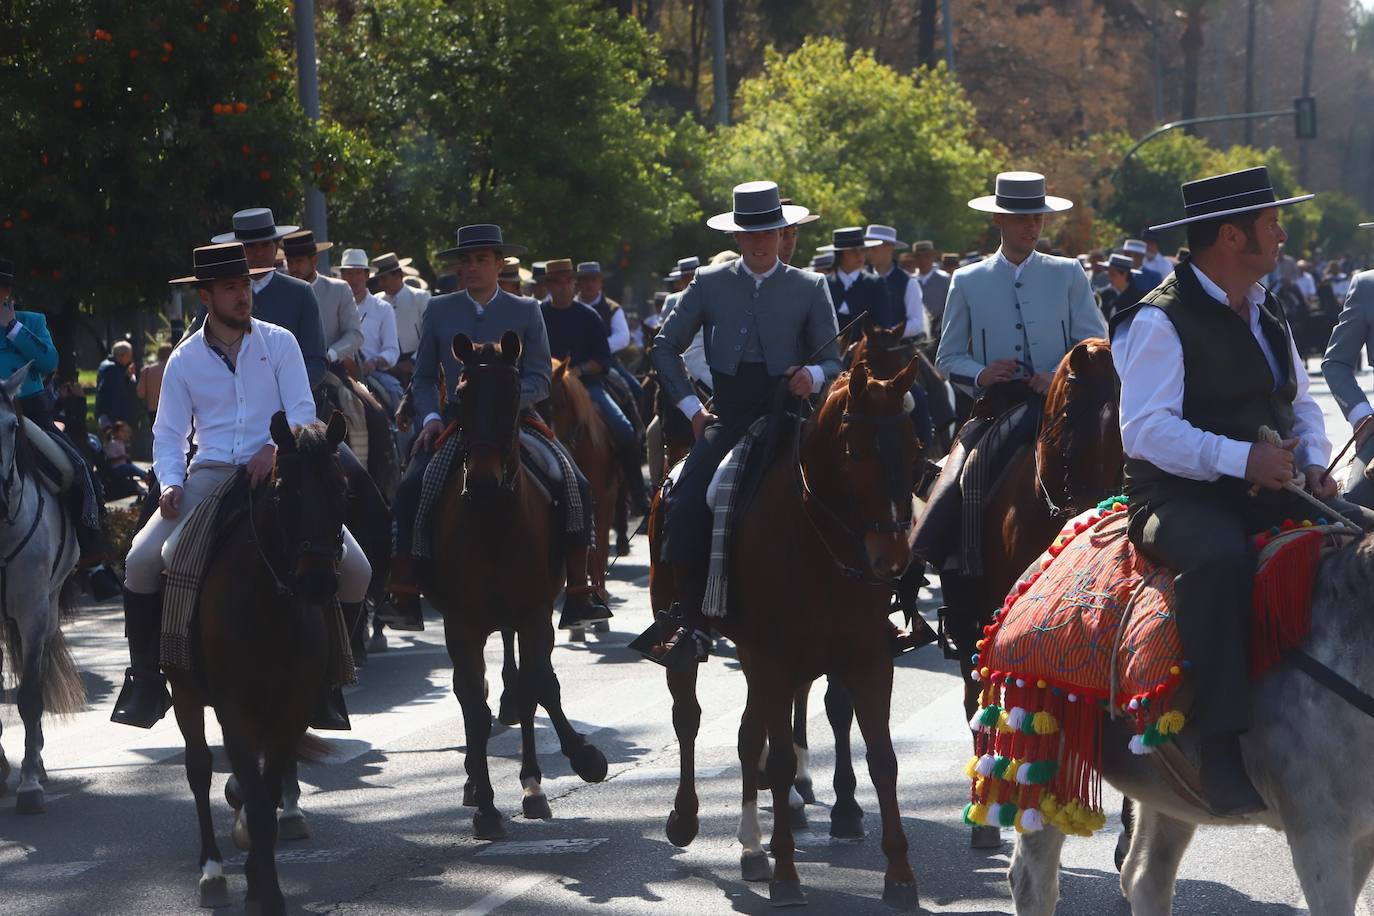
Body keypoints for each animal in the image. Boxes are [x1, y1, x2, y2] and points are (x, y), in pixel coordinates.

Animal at [168, 414, 348, 916]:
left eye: (341, 486)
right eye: (285, 490)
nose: (317, 581)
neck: (270, 601)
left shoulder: (292, 708)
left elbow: (265, 795)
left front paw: (261, 881)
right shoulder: (234, 708)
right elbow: (252, 794)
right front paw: (263, 891)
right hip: (185, 694)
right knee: (198, 768)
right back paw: (211, 871)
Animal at [423, 333, 607, 840]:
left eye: (511, 396)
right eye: (461, 394)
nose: (484, 482)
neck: (492, 523)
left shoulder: (534, 614)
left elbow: (538, 686)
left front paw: (584, 759)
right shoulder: (461, 626)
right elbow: (474, 705)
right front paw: (486, 805)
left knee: (522, 686)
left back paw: (532, 784)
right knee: (481, 693)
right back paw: (475, 781)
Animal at [651, 354, 923, 906]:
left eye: (913, 449)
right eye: (854, 450)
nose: (891, 559)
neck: (816, 538)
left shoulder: (866, 657)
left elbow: (882, 759)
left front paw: (900, 875)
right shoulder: (775, 657)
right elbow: (776, 763)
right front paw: (787, 875)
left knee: (748, 733)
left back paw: (753, 848)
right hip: (694, 640)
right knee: (689, 718)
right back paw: (689, 819)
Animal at [1005, 538, 1374, 916]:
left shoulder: (1361, 836)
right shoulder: (1318, 833)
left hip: (1168, 789)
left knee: (1144, 879)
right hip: (1050, 760)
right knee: (1033, 880)